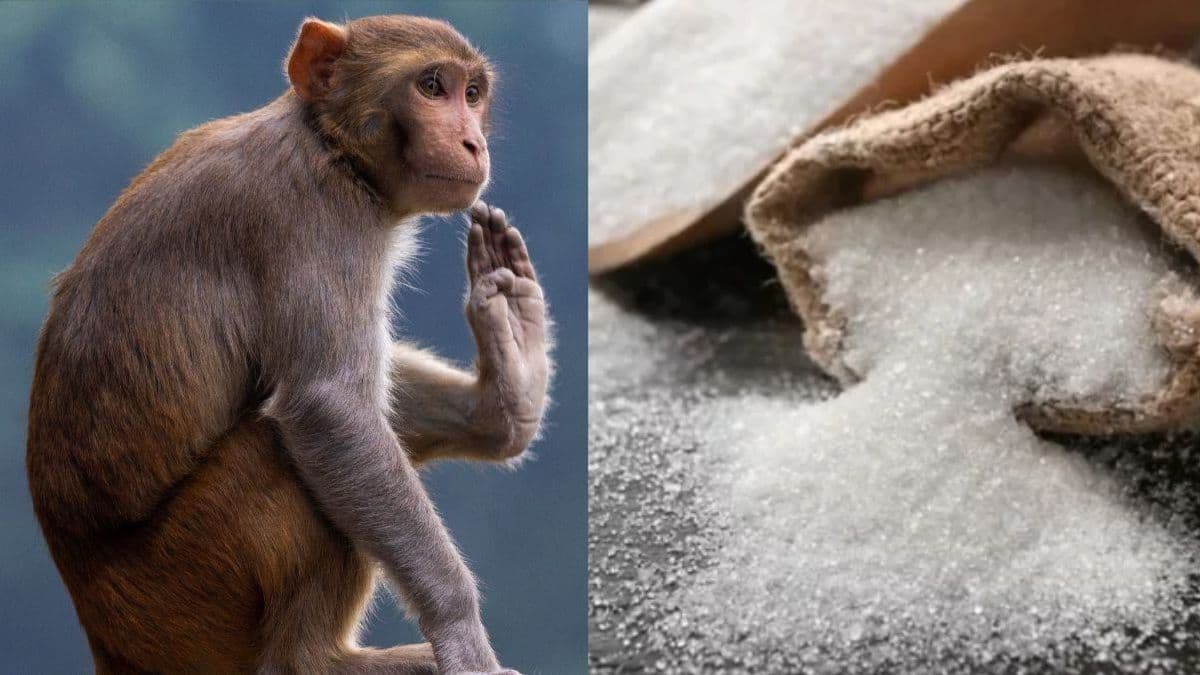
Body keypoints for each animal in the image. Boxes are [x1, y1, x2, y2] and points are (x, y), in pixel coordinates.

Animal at [25, 15, 551, 675]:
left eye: (472, 94)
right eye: (432, 86)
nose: (473, 143)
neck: (329, 146)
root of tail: (106, 638)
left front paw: (504, 393)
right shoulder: (315, 217)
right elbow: (331, 407)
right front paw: (461, 632)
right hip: (177, 592)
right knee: (279, 448)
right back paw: (319, 659)